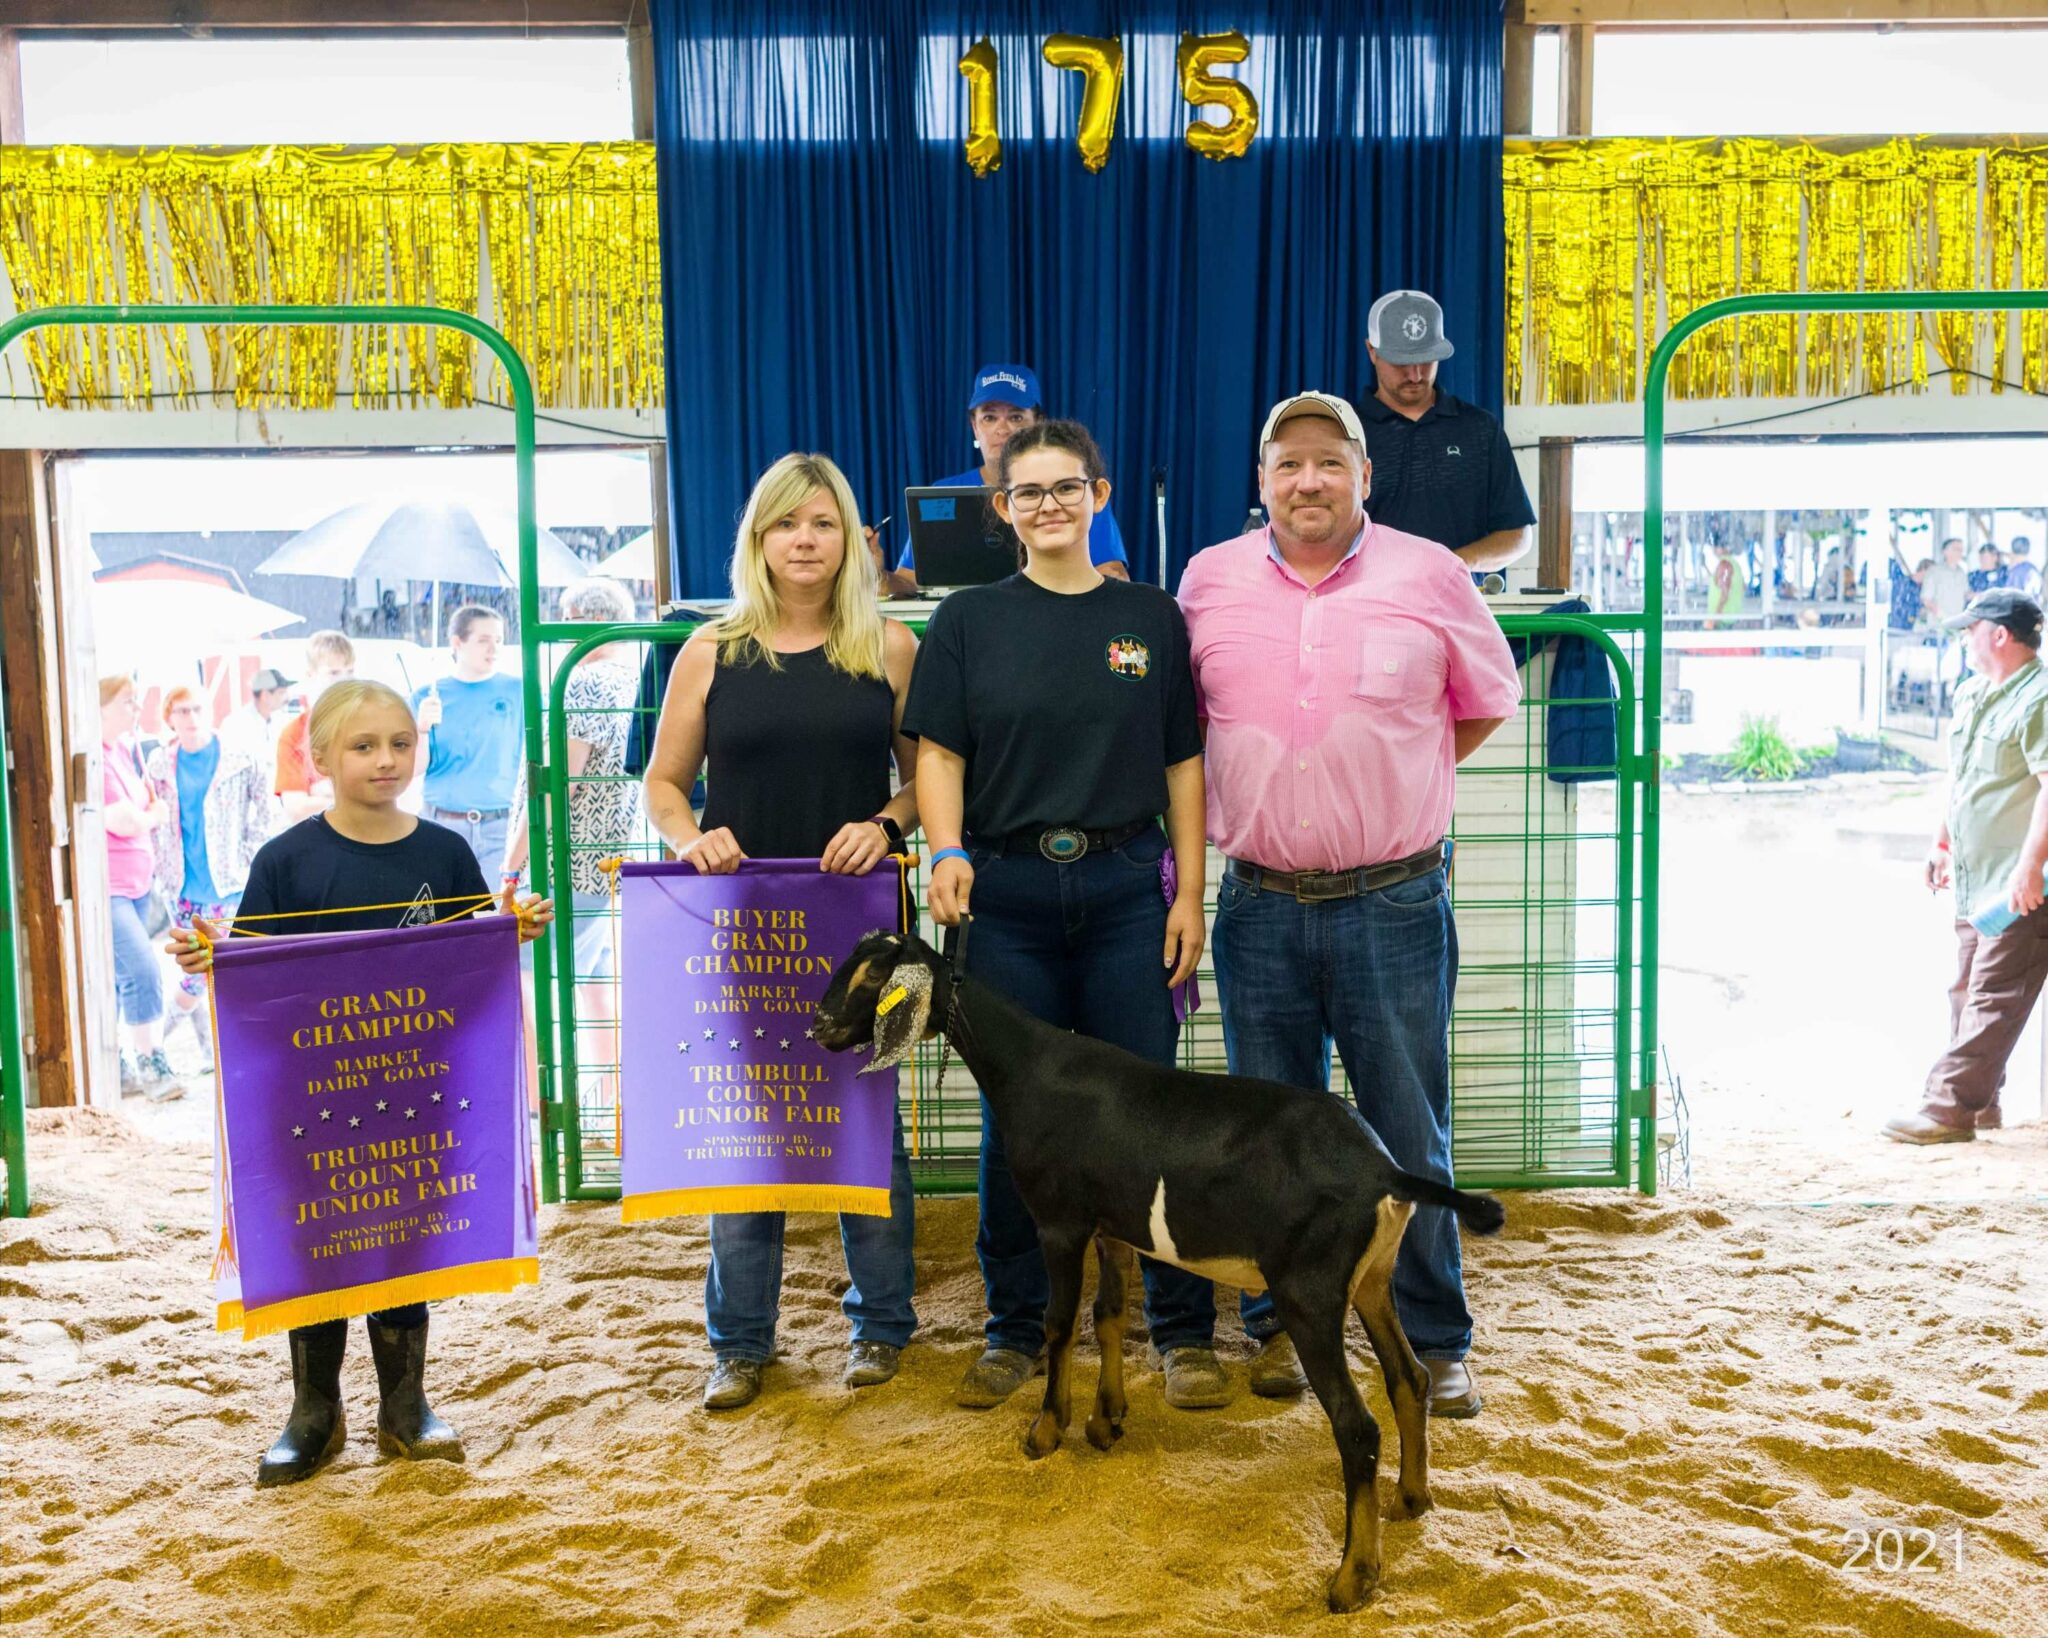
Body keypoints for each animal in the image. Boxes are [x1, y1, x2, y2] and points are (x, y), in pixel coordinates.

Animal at [811, 929, 1507, 1605]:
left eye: (872, 976)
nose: (818, 1027)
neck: (1028, 1068)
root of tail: (1384, 1172)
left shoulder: (1061, 1224)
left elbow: (1060, 1324)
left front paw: (1046, 1431)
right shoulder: (1114, 1228)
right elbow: (1109, 1315)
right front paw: (1105, 1421)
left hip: (1309, 1292)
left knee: (1357, 1428)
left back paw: (1352, 1579)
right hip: (1370, 1279)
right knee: (1410, 1379)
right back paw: (1411, 1499)